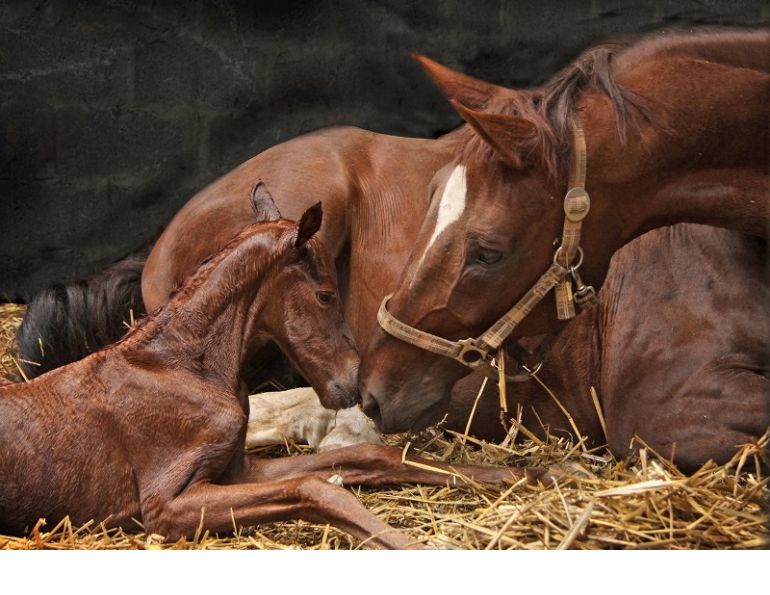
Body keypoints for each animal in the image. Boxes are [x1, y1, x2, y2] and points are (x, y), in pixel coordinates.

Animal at [1, 189, 538, 548]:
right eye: (326, 294)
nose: (354, 383)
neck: (181, 365)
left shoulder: (237, 470)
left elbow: (369, 458)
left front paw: (529, 472)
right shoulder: (165, 506)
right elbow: (316, 487)